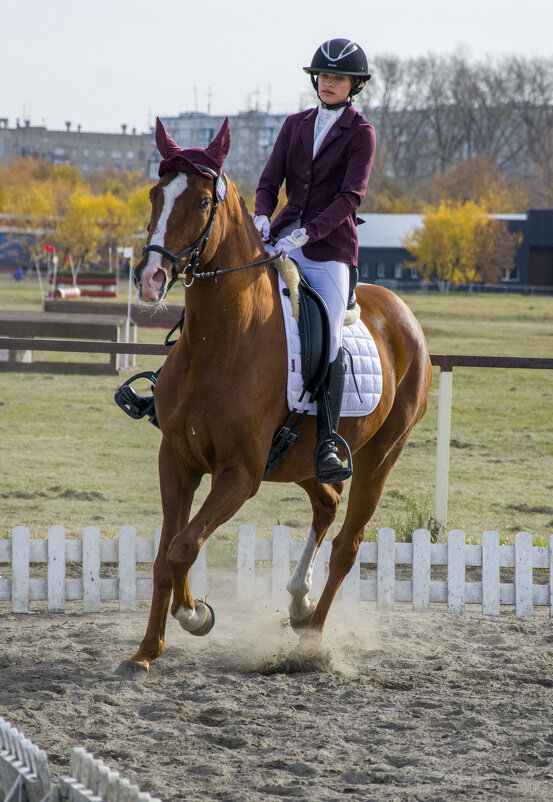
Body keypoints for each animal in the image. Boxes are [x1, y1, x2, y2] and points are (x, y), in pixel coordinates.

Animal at [116, 122, 434, 680]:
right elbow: (165, 554)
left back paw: (311, 638)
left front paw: (194, 615)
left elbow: (183, 546)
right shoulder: (176, 460)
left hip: (381, 456)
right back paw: (298, 601)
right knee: (327, 504)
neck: (222, 342)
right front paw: (145, 652)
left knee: (347, 544)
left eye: (203, 202)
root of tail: (403, 313)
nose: (151, 279)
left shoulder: (239, 476)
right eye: (156, 194)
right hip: (302, 461)